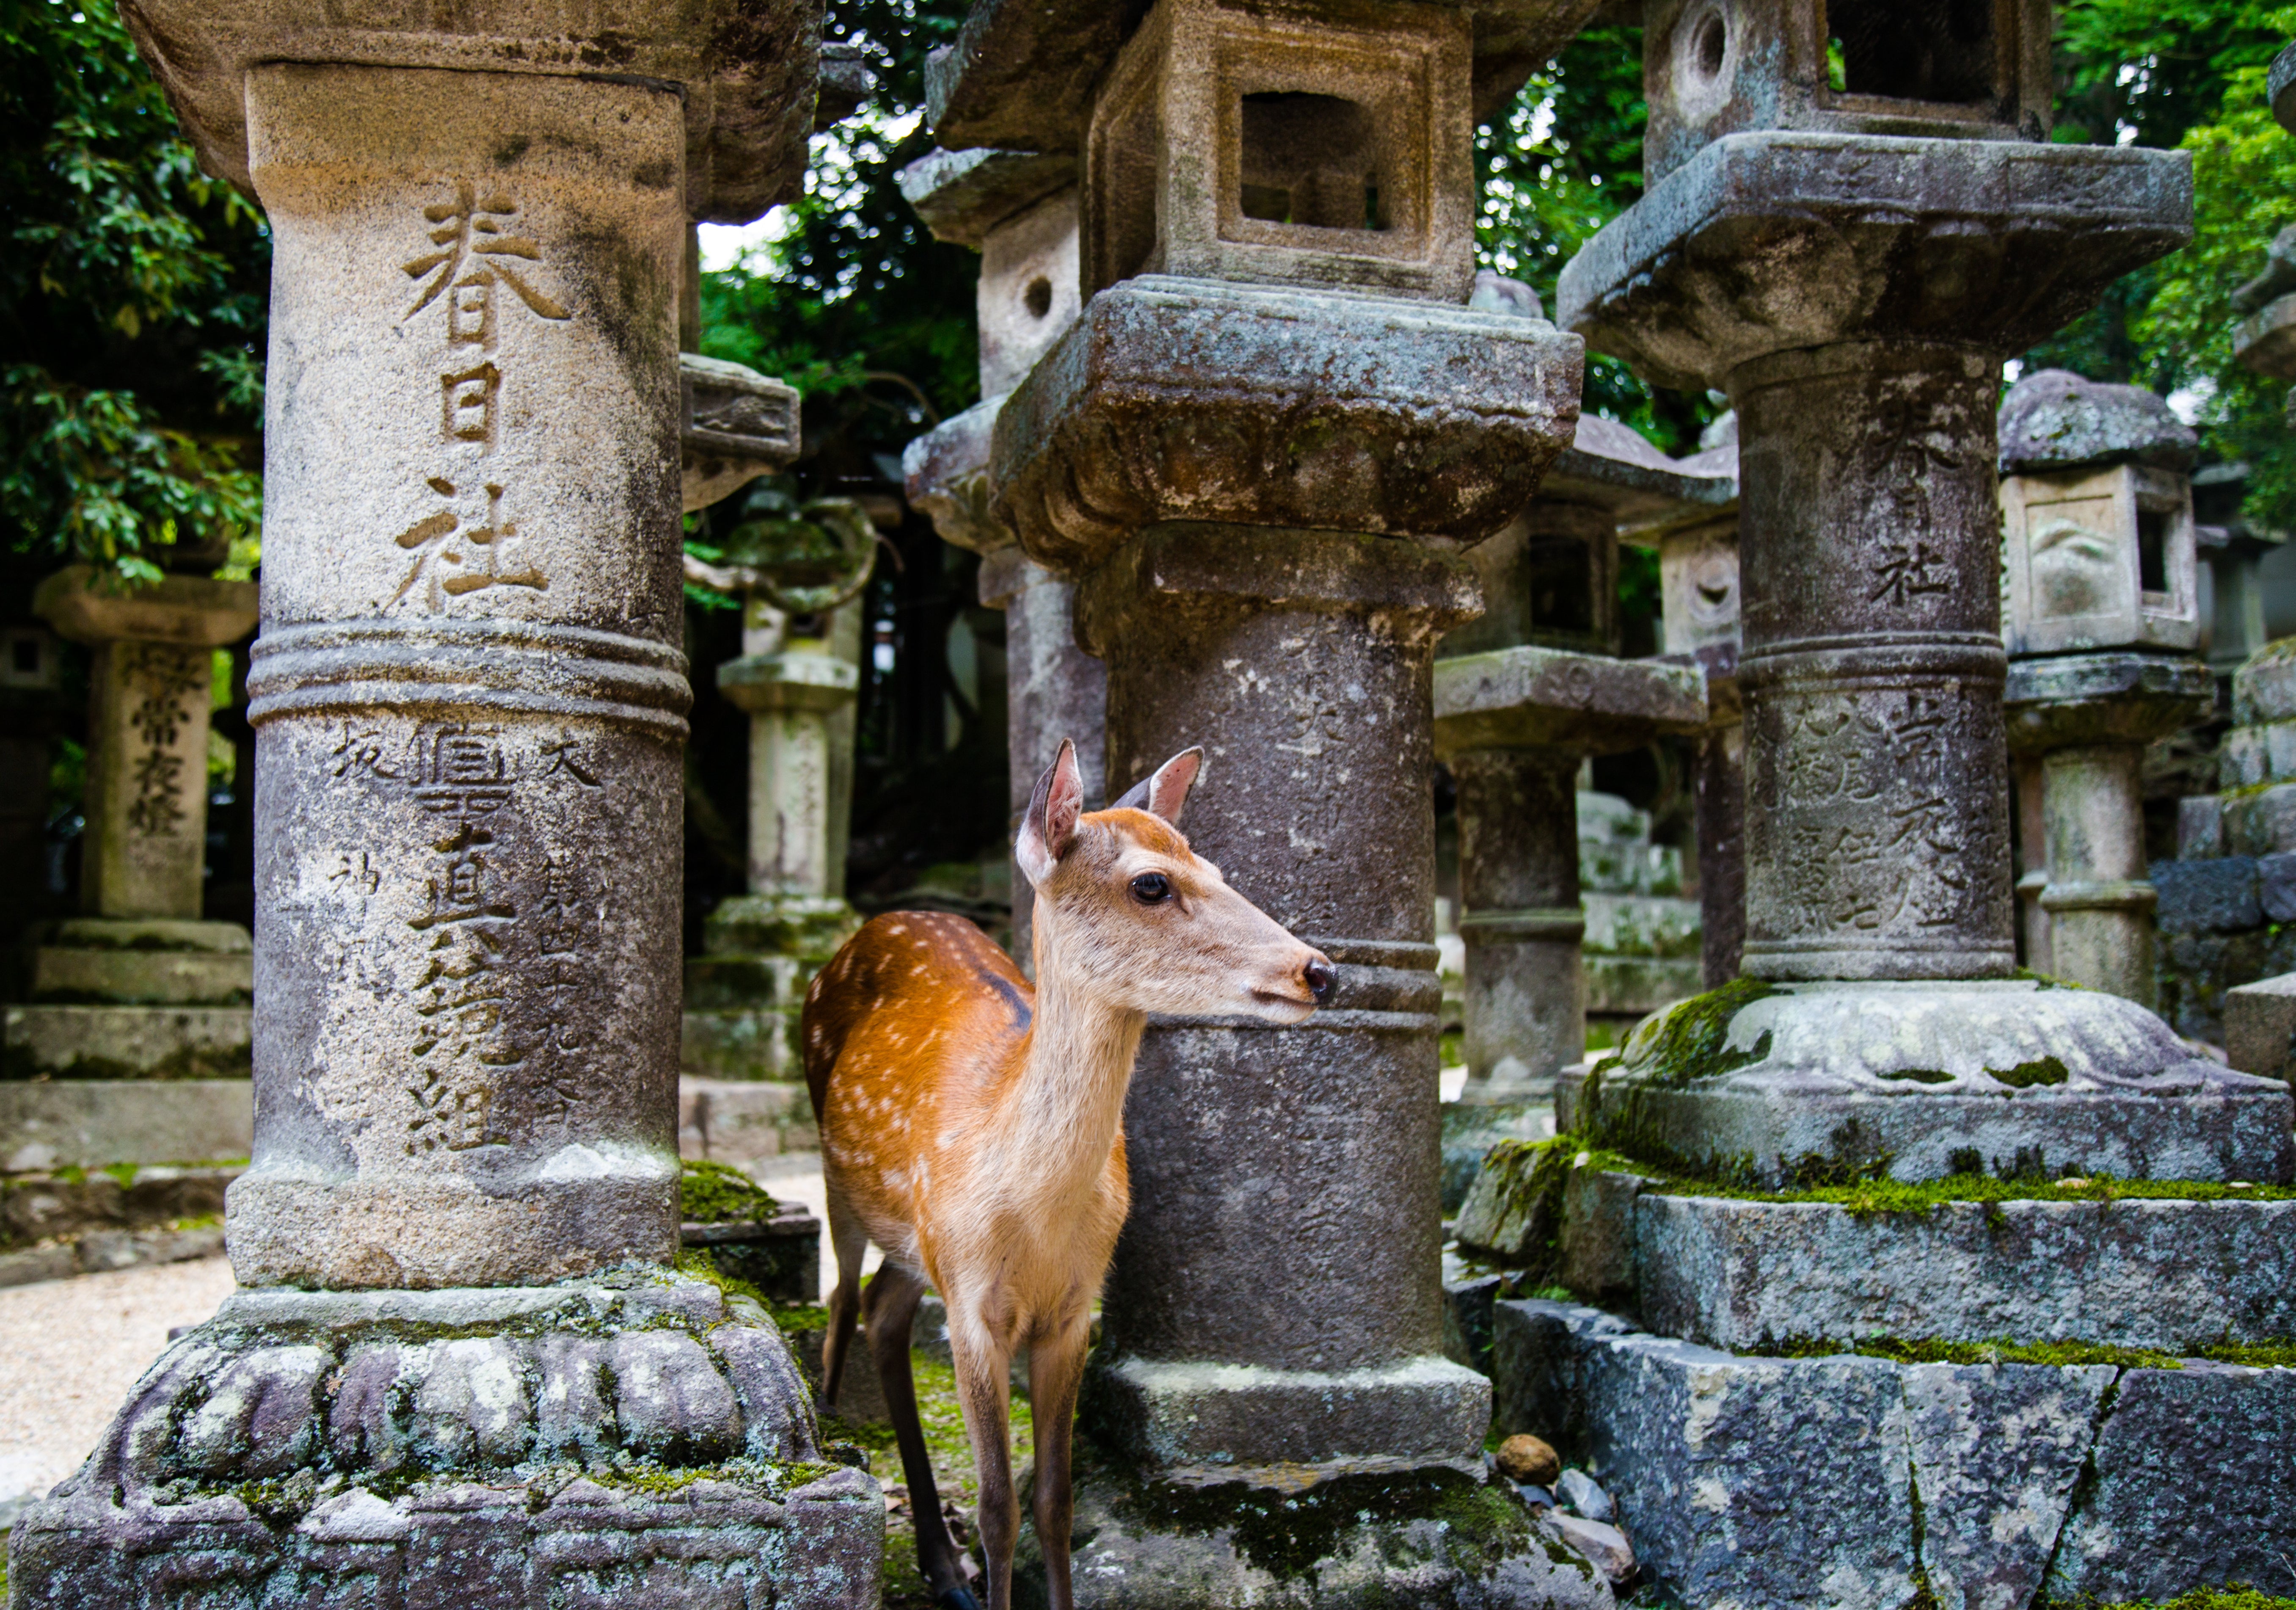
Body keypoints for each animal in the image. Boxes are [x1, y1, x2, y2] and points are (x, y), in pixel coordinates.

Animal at [803, 739, 1331, 1607]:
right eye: (1152, 882)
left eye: (1217, 868)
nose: (1319, 970)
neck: (1036, 1218)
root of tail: (877, 921)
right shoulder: (973, 1305)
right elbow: (998, 1505)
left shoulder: (1076, 1306)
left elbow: (1055, 1498)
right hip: (840, 1185)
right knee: (843, 1304)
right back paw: (830, 1434)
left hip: (917, 1241)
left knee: (883, 1312)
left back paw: (941, 1564)